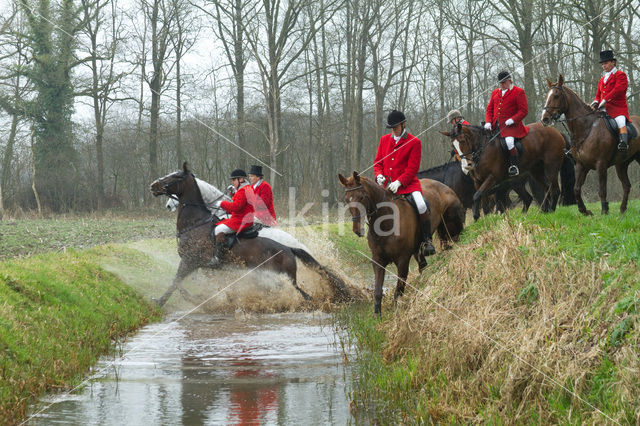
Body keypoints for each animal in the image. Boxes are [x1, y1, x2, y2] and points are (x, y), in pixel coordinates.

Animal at [149, 162, 350, 306]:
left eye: (175, 176)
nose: (153, 185)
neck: (196, 222)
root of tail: (290, 248)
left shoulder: (190, 261)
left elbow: (176, 282)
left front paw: (161, 301)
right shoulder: (199, 265)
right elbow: (183, 283)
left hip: (280, 277)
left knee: (301, 294)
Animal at [338, 171, 462, 314]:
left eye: (361, 197)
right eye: (347, 199)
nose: (357, 230)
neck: (386, 223)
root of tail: (446, 187)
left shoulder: (403, 260)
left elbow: (399, 290)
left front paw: (396, 312)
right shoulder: (378, 260)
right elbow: (378, 291)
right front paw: (377, 315)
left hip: (451, 231)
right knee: (423, 266)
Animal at [540, 74, 640, 215]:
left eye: (556, 96)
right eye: (546, 96)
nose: (545, 119)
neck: (587, 128)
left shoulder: (601, 165)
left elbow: (602, 190)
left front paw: (604, 211)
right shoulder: (581, 165)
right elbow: (576, 189)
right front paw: (585, 211)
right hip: (621, 164)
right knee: (626, 185)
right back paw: (622, 209)